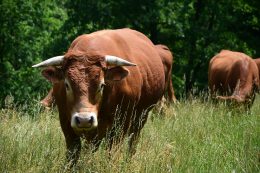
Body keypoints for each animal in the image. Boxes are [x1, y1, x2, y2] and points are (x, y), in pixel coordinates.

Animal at [33, 28, 167, 165]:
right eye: (66, 85)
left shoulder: (119, 125)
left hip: (141, 117)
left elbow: (112, 153)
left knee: (132, 143)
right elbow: (73, 154)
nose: (84, 119)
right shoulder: (66, 123)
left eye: (102, 85)